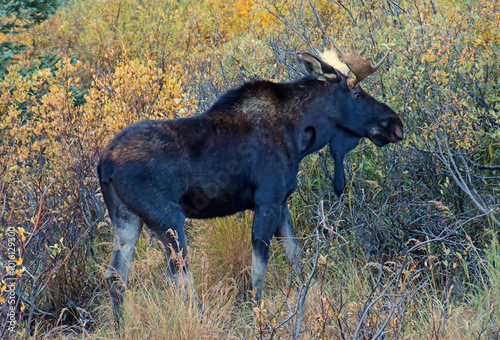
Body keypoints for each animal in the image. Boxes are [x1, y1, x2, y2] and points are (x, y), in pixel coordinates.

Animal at [96, 45, 402, 322]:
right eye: (358, 94)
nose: (395, 124)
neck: (300, 136)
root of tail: (104, 164)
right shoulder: (267, 201)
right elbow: (258, 271)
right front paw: (258, 314)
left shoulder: (282, 203)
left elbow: (296, 259)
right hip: (167, 218)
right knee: (179, 277)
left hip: (126, 218)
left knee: (115, 276)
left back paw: (121, 326)